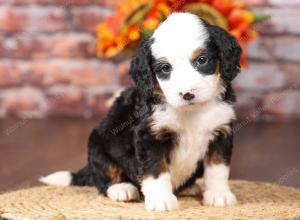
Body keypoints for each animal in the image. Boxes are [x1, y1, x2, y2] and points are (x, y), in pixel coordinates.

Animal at [40, 12, 241, 211]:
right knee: (103, 177)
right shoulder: (150, 135)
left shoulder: (220, 131)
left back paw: (190, 187)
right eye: (165, 68)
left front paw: (219, 195)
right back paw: (122, 189)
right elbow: (155, 170)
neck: (190, 111)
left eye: (202, 60)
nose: (187, 94)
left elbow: (217, 168)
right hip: (98, 144)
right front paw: (161, 200)